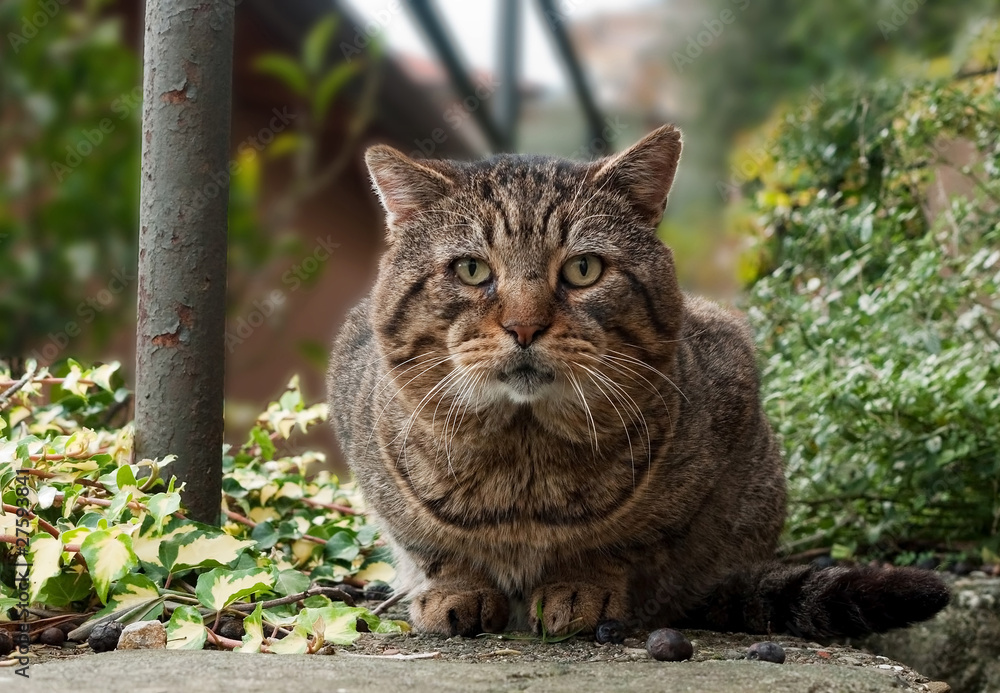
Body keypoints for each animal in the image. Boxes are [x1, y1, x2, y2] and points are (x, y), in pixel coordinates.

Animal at [326, 125, 944, 636]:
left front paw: (580, 585)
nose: (524, 326)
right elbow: (433, 546)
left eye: (583, 269)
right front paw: (455, 589)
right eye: (472, 269)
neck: (524, 460)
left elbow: (622, 543)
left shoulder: (709, 441)